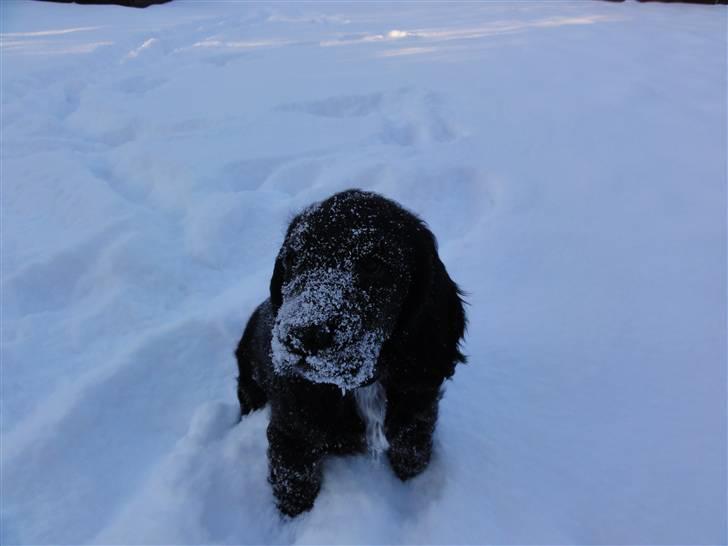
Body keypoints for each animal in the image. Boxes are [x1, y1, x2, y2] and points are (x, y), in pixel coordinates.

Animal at [236, 189, 470, 516]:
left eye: (373, 266)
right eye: (292, 259)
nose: (300, 336)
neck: (360, 386)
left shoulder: (417, 407)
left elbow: (413, 452)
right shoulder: (290, 429)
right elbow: (295, 482)